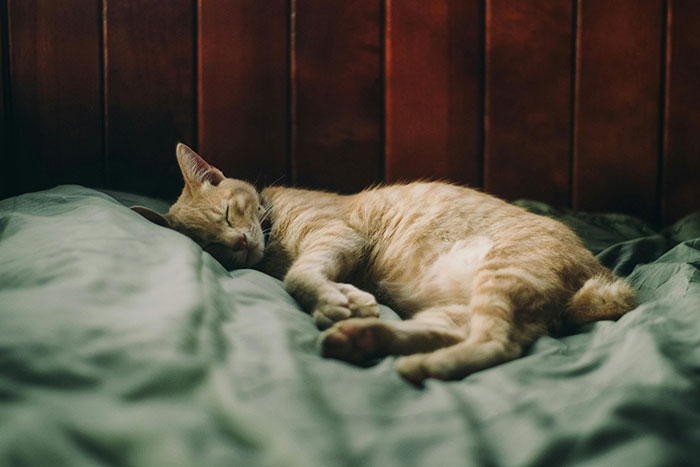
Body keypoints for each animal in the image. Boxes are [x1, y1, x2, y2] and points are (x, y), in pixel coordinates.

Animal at [131, 144, 636, 384]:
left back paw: (420, 365)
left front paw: (331, 297)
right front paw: (342, 298)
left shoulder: (335, 236)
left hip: (503, 271)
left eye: (227, 215)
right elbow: (304, 277)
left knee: (499, 345)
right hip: (461, 305)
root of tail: (599, 276)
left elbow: (300, 276)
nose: (236, 241)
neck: (272, 234)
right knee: (462, 334)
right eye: (210, 245)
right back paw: (364, 337)